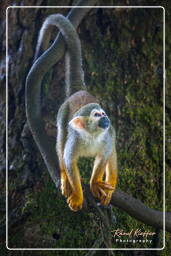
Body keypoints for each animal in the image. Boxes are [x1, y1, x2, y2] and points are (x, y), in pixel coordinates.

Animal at [36, 13, 117, 212]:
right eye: (96, 115)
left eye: (103, 113)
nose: (106, 117)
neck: (92, 134)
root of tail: (79, 91)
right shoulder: (76, 138)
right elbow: (69, 161)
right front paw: (78, 195)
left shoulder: (106, 135)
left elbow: (104, 155)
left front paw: (95, 183)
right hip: (63, 113)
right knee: (61, 137)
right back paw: (64, 177)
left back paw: (110, 183)